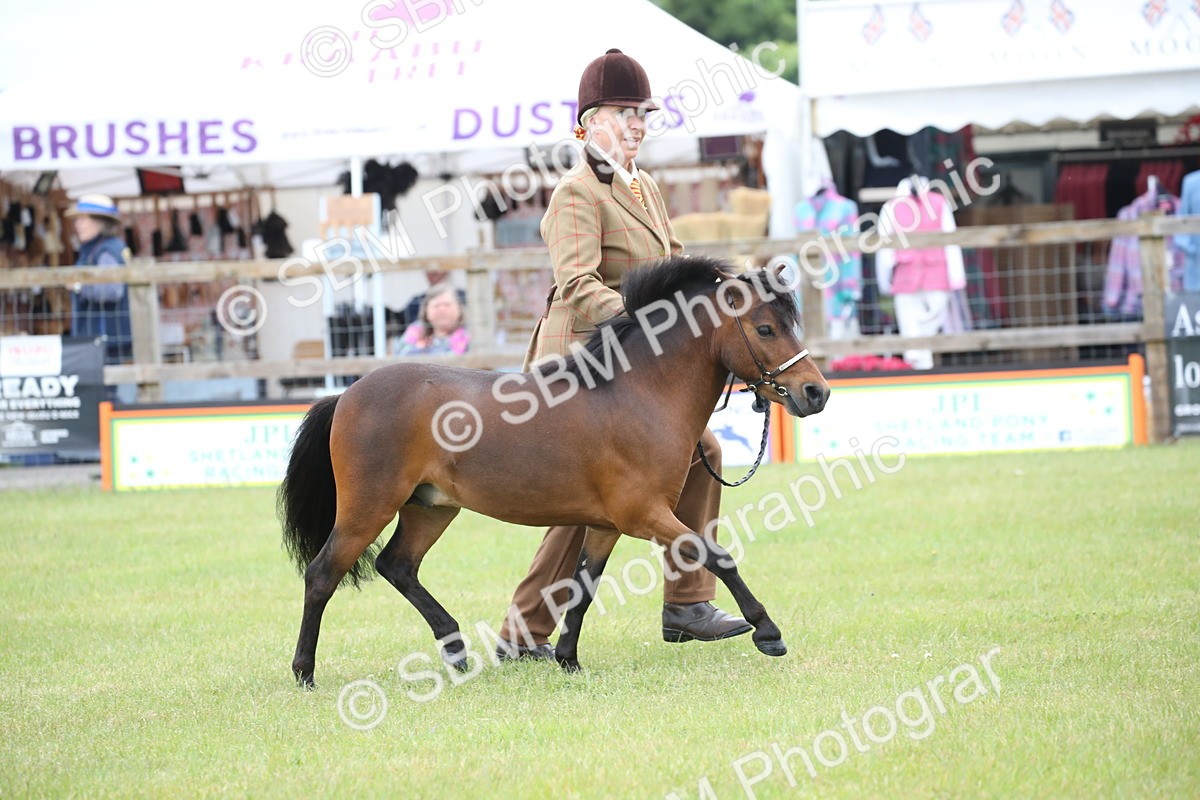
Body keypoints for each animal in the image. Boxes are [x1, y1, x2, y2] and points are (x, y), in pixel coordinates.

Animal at [279, 255, 830, 687]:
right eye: (765, 328)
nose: (816, 393)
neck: (637, 393)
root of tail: (347, 393)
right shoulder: (646, 516)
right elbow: (718, 556)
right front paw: (768, 633)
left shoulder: (607, 526)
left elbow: (582, 588)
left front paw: (568, 659)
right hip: (368, 507)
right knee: (323, 574)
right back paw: (304, 671)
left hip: (431, 507)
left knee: (397, 566)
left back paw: (455, 648)